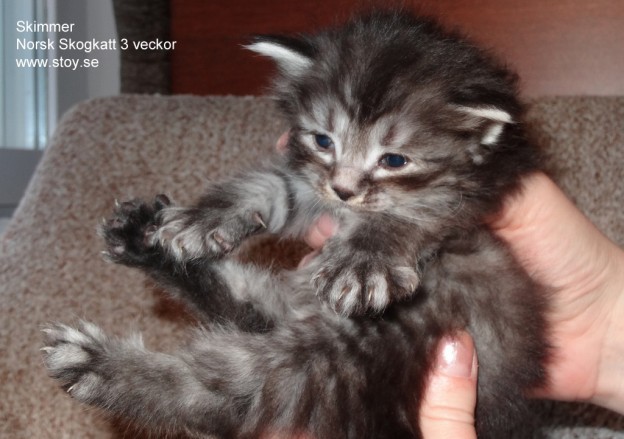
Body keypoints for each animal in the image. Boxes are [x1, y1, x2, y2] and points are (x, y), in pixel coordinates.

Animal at [44, 10, 548, 439]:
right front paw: (203, 216)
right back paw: (143, 240)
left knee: (229, 392)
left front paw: (363, 261)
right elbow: (270, 185)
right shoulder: (310, 187)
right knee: (245, 308)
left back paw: (97, 366)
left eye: (394, 160)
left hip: (366, 345)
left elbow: (408, 214)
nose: (343, 191)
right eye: (324, 141)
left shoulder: (471, 202)